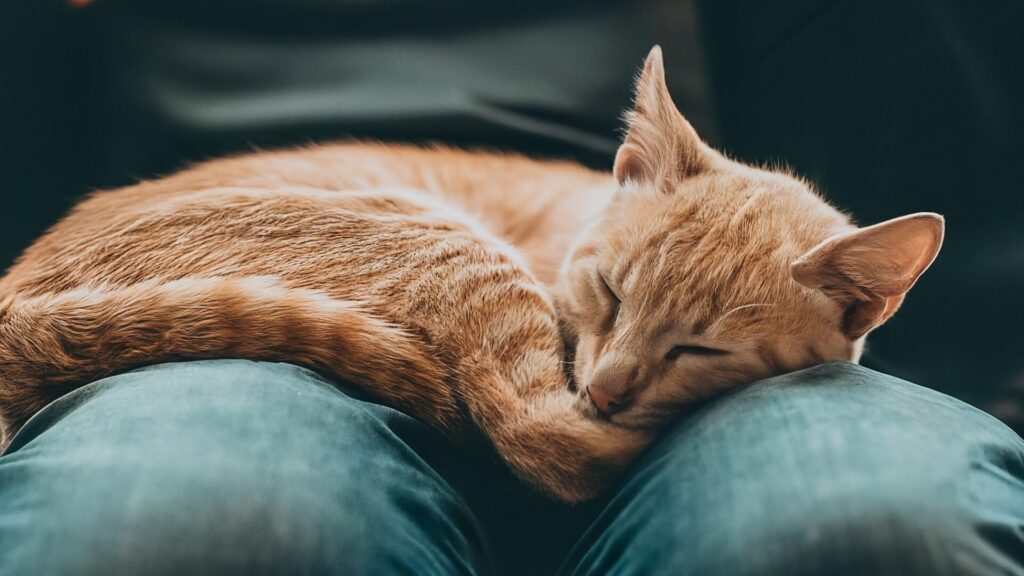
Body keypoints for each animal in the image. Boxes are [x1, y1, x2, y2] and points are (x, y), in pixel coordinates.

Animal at [0, 47, 937, 500]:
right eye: (611, 293)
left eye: (701, 349)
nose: (608, 391)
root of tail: (16, 304)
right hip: (452, 249)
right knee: (544, 440)